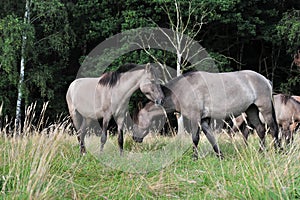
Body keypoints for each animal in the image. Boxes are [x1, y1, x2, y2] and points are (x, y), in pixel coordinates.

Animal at [132, 69, 280, 159]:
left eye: (137, 121)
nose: (134, 138)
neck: (183, 90)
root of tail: (266, 80)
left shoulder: (195, 117)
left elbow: (195, 138)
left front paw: (194, 157)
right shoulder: (203, 120)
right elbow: (211, 137)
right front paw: (220, 156)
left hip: (264, 108)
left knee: (273, 129)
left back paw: (279, 151)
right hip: (251, 109)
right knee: (261, 129)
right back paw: (261, 152)